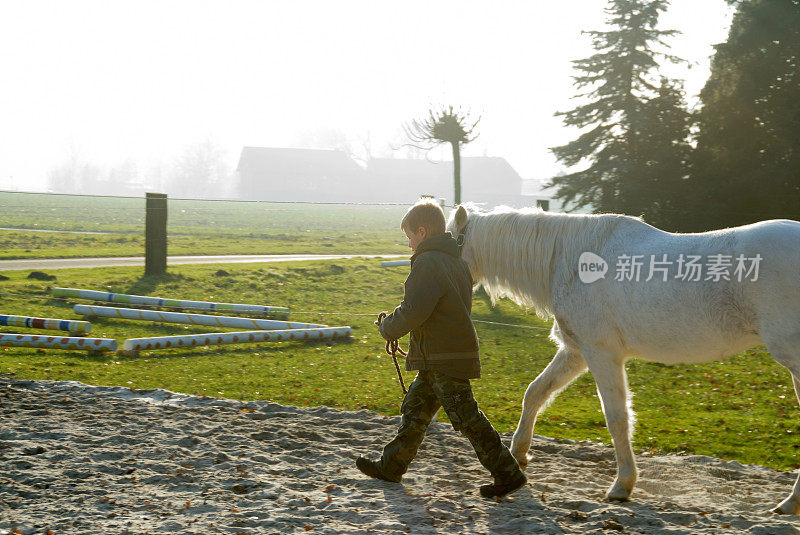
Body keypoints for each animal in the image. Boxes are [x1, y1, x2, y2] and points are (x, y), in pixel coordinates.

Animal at [444, 203, 800, 512]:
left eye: (447, 243)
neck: (572, 261)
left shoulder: (601, 354)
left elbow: (616, 418)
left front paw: (622, 485)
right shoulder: (576, 352)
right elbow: (536, 393)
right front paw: (518, 454)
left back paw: (789, 503)